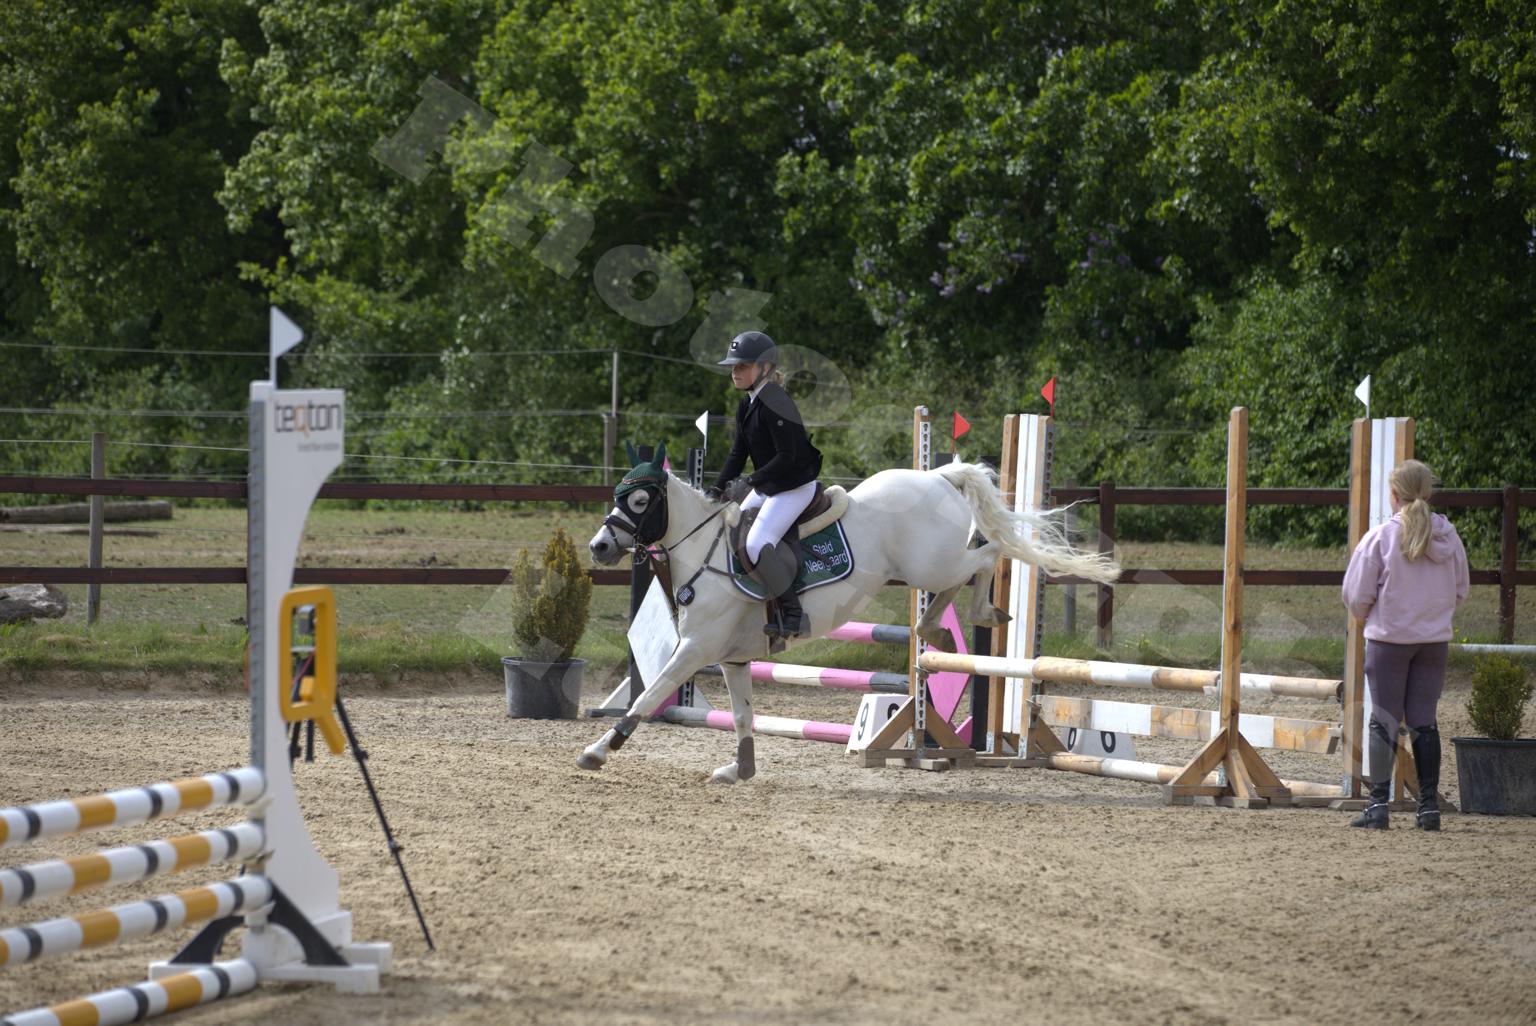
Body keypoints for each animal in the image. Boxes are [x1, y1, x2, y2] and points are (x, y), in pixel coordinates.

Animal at [579, 443, 1119, 783]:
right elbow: (741, 714)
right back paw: (936, 631)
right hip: (928, 567)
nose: (599, 547)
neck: (701, 549)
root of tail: (937, 475)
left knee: (987, 556)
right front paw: (741, 770)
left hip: (933, 562)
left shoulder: (695, 649)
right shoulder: (731, 657)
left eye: (641, 500)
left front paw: (597, 751)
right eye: (618, 496)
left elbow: (647, 698)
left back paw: (976, 614)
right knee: (967, 572)